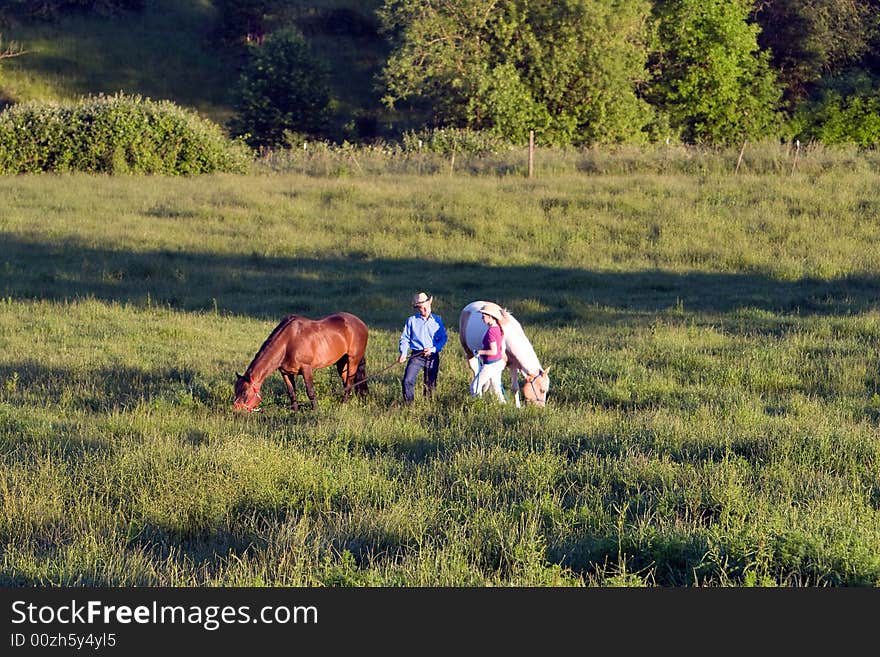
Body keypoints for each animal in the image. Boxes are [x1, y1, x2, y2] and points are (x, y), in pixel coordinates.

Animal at [230, 312, 368, 410]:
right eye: (236, 391)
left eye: (245, 393)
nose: (236, 411)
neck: (287, 342)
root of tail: (361, 323)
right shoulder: (285, 372)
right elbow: (291, 392)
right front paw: (295, 411)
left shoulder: (306, 368)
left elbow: (310, 391)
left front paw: (315, 410)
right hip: (341, 363)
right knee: (347, 382)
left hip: (353, 360)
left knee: (349, 382)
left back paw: (344, 404)